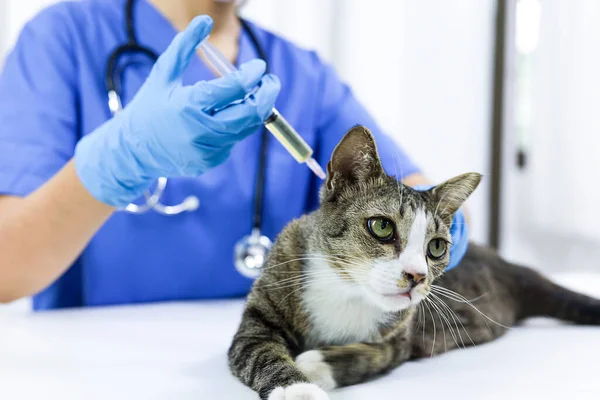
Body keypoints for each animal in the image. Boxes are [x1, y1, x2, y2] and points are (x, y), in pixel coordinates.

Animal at [226, 126, 600, 400]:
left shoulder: (402, 338)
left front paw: (314, 364)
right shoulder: (261, 312)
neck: (347, 289)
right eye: (381, 226)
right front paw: (298, 389)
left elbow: (370, 356)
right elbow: (261, 353)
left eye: (435, 247)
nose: (417, 276)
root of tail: (509, 266)